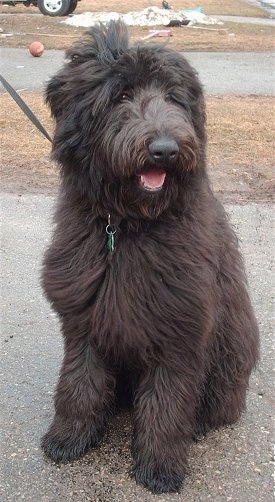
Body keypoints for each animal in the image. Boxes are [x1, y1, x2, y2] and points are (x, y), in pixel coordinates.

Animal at [40, 20, 258, 494]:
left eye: (174, 98)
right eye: (120, 96)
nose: (165, 149)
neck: (126, 227)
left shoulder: (181, 329)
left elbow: (168, 403)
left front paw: (159, 466)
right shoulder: (85, 319)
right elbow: (79, 384)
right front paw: (68, 437)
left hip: (231, 347)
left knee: (214, 405)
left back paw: (198, 425)